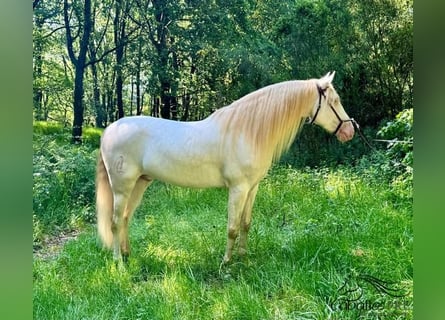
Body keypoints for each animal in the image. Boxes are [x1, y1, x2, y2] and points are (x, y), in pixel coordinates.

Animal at [96, 71, 354, 264]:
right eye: (335, 101)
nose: (350, 130)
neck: (247, 132)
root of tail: (109, 130)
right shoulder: (238, 188)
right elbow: (232, 227)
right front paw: (227, 263)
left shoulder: (252, 188)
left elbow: (246, 224)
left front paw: (243, 257)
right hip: (122, 187)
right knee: (115, 221)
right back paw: (119, 262)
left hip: (140, 183)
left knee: (126, 218)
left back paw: (128, 254)